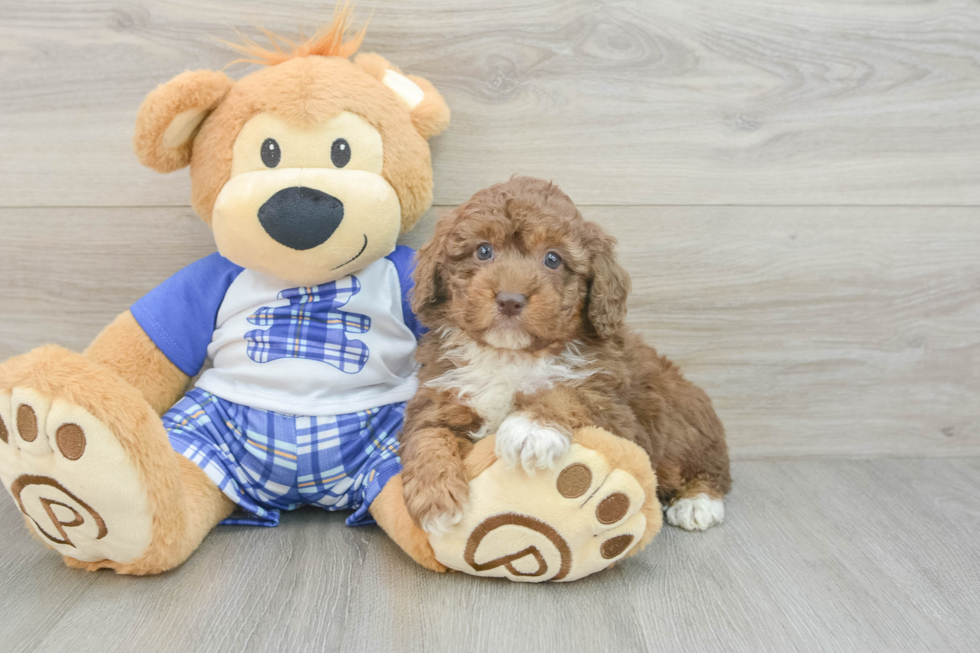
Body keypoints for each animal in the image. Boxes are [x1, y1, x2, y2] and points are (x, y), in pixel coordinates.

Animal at [398, 177, 728, 536]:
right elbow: (428, 435)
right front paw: (435, 495)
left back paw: (697, 502)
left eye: (553, 259)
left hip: (685, 421)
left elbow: (569, 393)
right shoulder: (439, 395)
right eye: (484, 250)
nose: (510, 299)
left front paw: (531, 428)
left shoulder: (616, 412)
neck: (511, 354)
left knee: (709, 468)